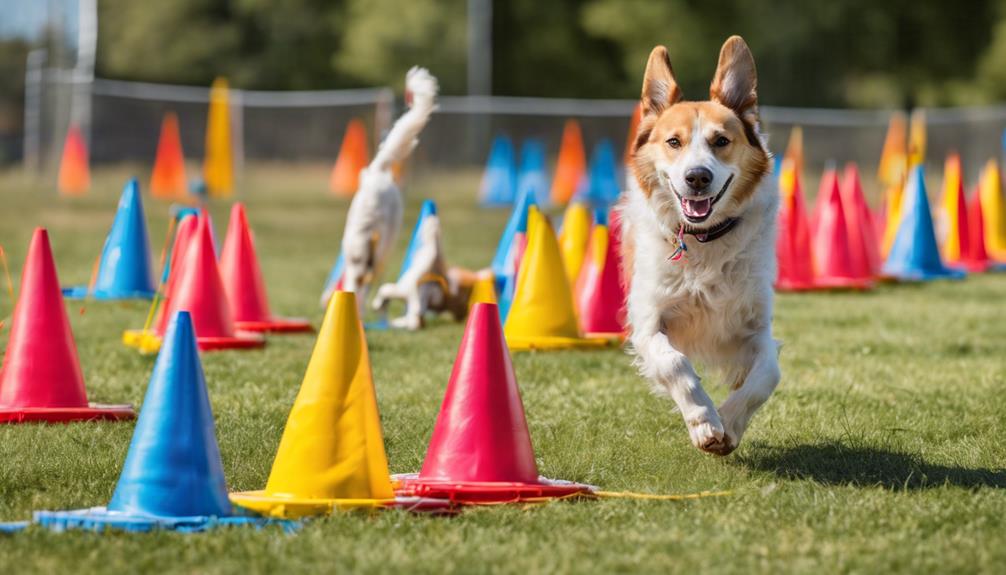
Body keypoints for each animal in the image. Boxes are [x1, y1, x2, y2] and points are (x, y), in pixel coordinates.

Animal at [336, 66, 438, 309]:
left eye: (361, 262)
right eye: (354, 262)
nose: (359, 277)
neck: (365, 229)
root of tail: (378, 171)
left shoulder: (372, 263)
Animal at [623, 36, 780, 458]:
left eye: (721, 141)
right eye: (673, 142)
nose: (697, 177)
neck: (704, 238)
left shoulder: (754, 326)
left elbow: (767, 374)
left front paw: (729, 421)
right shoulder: (649, 323)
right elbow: (676, 364)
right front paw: (705, 422)